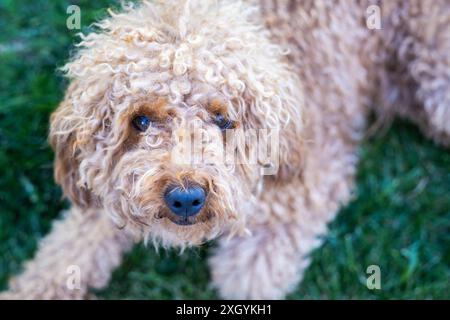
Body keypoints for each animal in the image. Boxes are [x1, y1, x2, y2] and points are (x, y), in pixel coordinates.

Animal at [1, 0, 448, 300]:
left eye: (222, 119)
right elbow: (70, 247)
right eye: (140, 121)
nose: (185, 198)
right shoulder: (106, 189)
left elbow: (250, 274)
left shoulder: (306, 182)